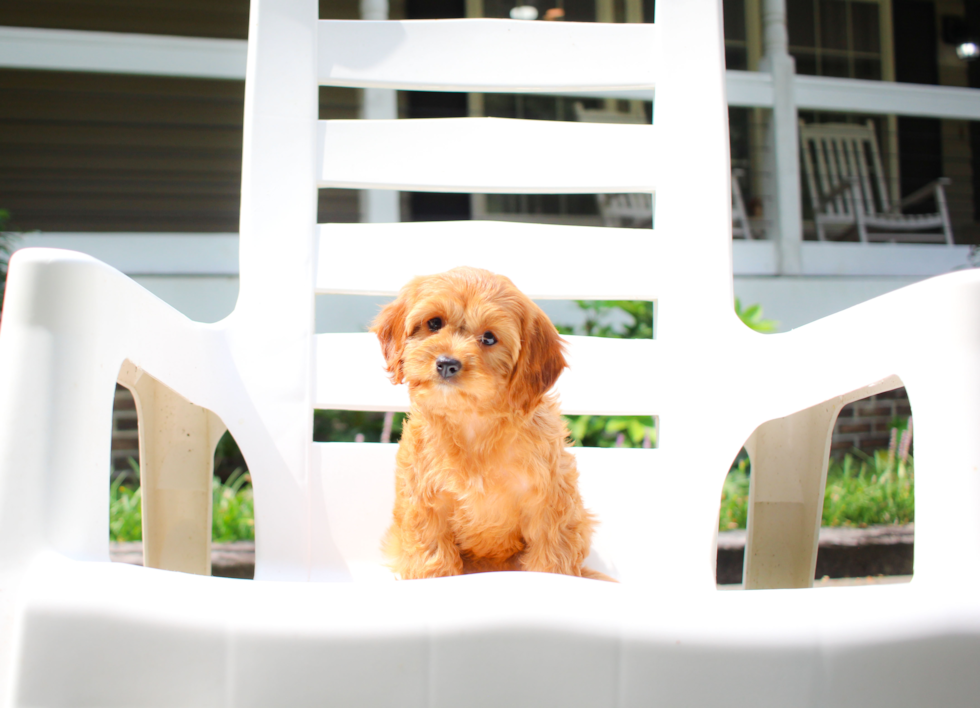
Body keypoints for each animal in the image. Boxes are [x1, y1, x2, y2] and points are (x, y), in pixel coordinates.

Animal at [374, 266, 608, 580]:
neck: (472, 423)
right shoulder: (424, 503)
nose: (447, 363)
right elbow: (432, 559)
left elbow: (550, 561)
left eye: (488, 338)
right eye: (433, 323)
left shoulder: (549, 506)